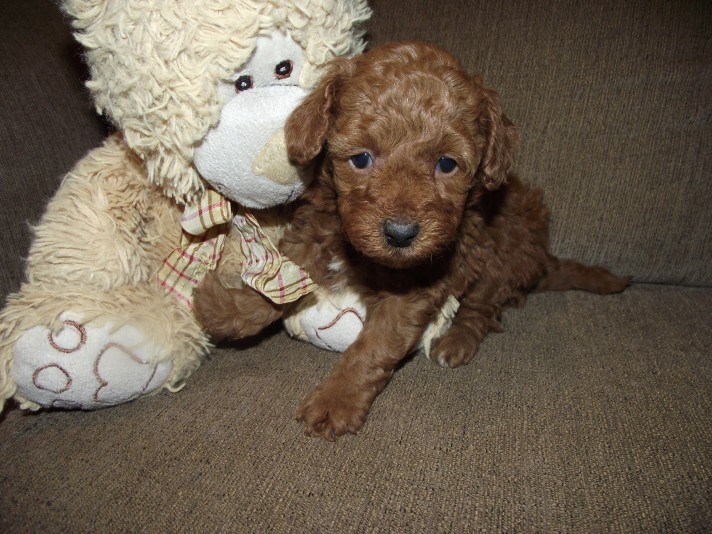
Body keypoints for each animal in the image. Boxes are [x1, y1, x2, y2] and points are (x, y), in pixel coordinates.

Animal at [193, 42, 628, 442]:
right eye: (361, 158)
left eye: (447, 164)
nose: (400, 234)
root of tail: (543, 255)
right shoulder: (316, 232)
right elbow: (280, 280)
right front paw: (225, 308)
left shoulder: (418, 285)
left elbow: (372, 348)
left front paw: (336, 400)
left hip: (501, 255)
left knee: (483, 308)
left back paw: (456, 341)